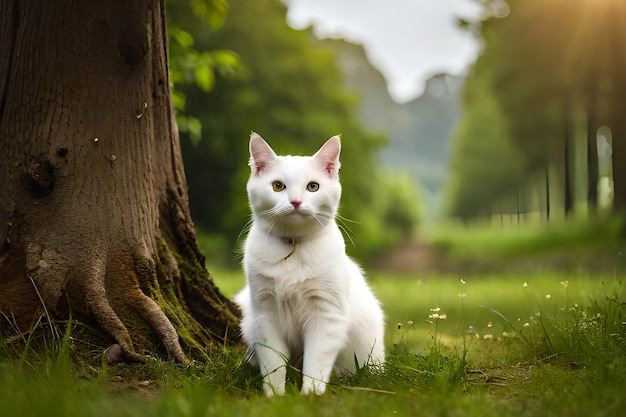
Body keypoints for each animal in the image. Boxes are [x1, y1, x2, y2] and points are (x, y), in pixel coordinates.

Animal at [233, 132, 382, 394]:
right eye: (278, 186)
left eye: (313, 186)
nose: (295, 201)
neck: (293, 246)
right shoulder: (266, 314)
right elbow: (273, 364)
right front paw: (275, 396)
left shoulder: (326, 314)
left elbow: (316, 364)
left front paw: (310, 395)